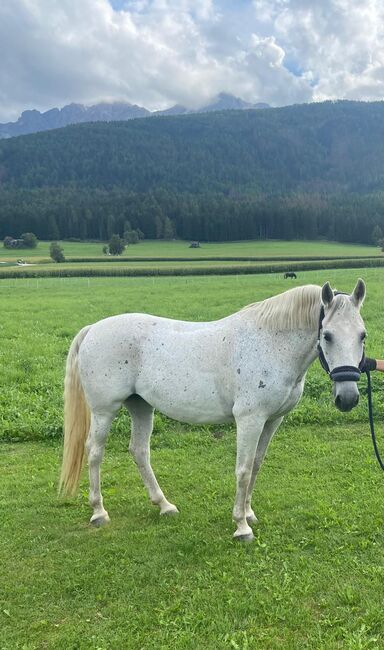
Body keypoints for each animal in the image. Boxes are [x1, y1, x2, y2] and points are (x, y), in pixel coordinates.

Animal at [59, 278, 366, 536]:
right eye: (327, 335)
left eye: (362, 335)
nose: (348, 398)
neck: (270, 343)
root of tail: (93, 329)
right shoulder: (250, 419)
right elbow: (243, 469)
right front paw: (241, 526)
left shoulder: (271, 420)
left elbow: (256, 465)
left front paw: (249, 513)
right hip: (104, 410)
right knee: (95, 452)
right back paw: (99, 512)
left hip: (141, 407)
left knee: (139, 451)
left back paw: (164, 505)